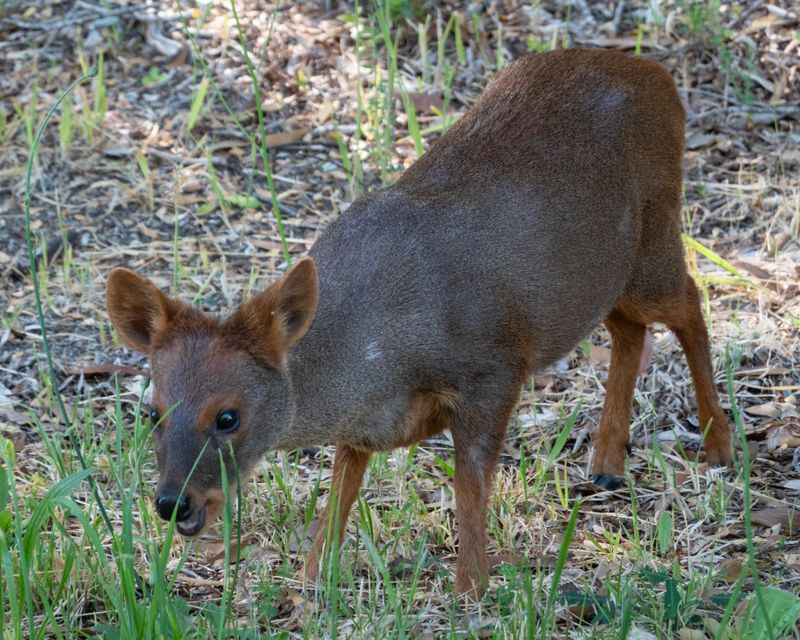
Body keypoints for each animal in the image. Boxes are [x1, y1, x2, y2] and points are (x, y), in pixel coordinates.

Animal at [106, 48, 732, 596]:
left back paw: (719, 447)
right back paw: (606, 467)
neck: (383, 351)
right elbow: (341, 490)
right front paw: (310, 582)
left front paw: (471, 591)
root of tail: (660, 79)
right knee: (631, 328)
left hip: (653, 241)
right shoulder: (364, 427)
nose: (173, 503)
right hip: (611, 278)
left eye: (228, 416)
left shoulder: (495, 367)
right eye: (152, 412)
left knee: (690, 301)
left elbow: (469, 489)